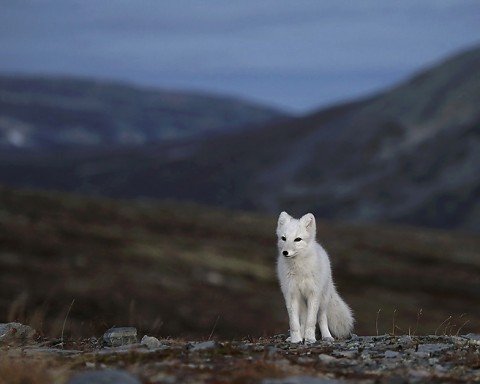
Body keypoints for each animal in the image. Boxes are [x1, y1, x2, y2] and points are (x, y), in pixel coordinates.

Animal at [278, 212, 352, 344]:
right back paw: (300, 336)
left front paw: (310, 339)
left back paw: (327, 336)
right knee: (303, 318)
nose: (285, 252)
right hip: (302, 302)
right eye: (283, 238)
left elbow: (311, 321)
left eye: (297, 239)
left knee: (322, 318)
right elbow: (294, 322)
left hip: (323, 299)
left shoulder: (314, 293)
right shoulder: (291, 294)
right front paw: (296, 339)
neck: (299, 269)